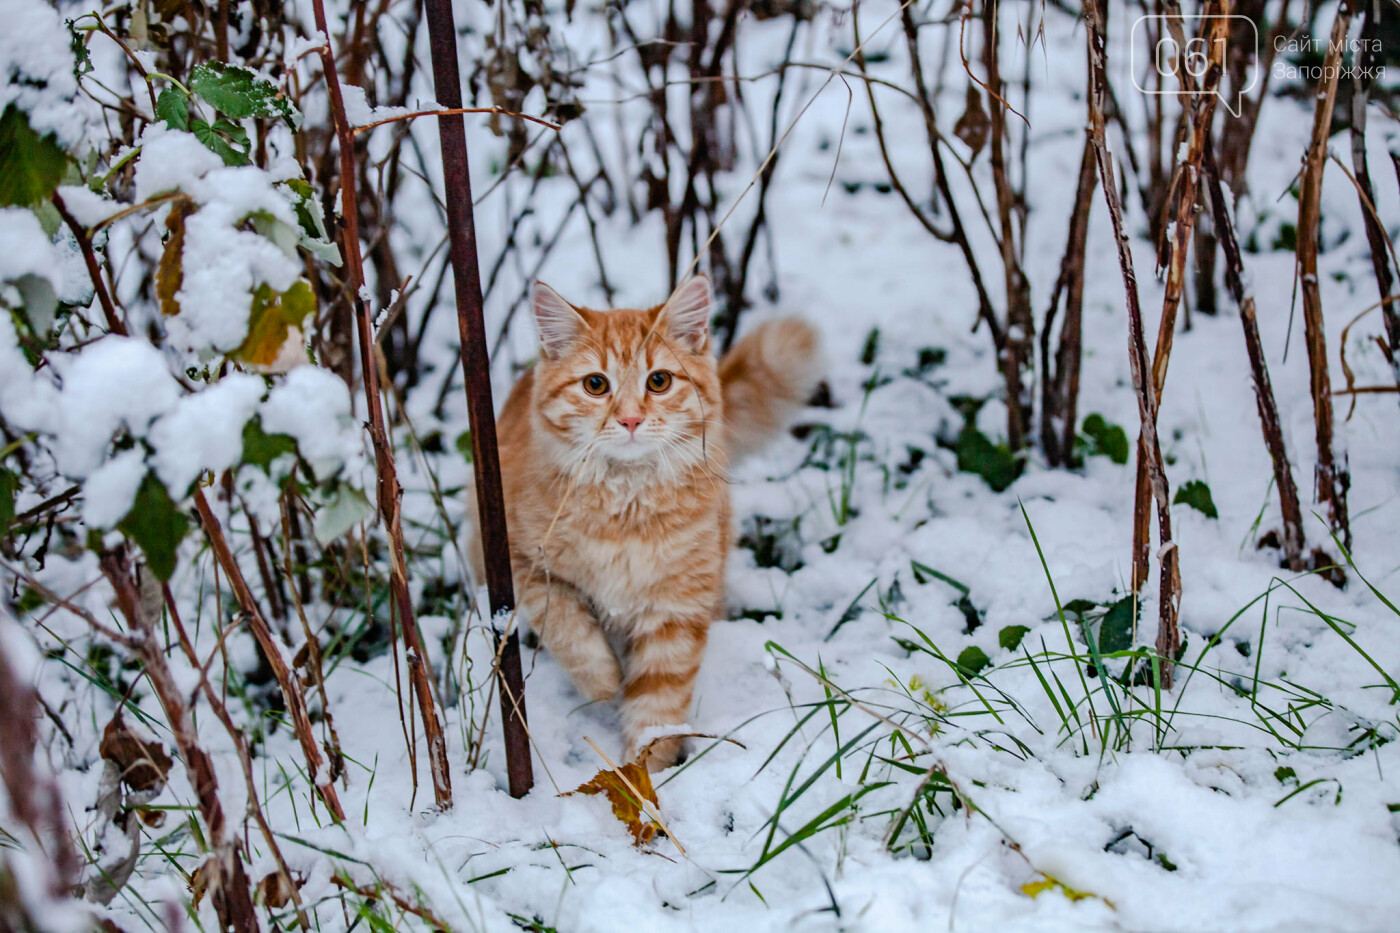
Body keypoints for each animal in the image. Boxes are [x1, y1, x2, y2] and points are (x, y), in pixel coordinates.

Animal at [470, 273, 817, 767]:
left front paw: (646, 777)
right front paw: (604, 683)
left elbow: (656, 711)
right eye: (596, 385)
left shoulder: (676, 608)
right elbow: (569, 630)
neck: (626, 508)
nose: (631, 419)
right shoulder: (518, 564)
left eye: (659, 381)